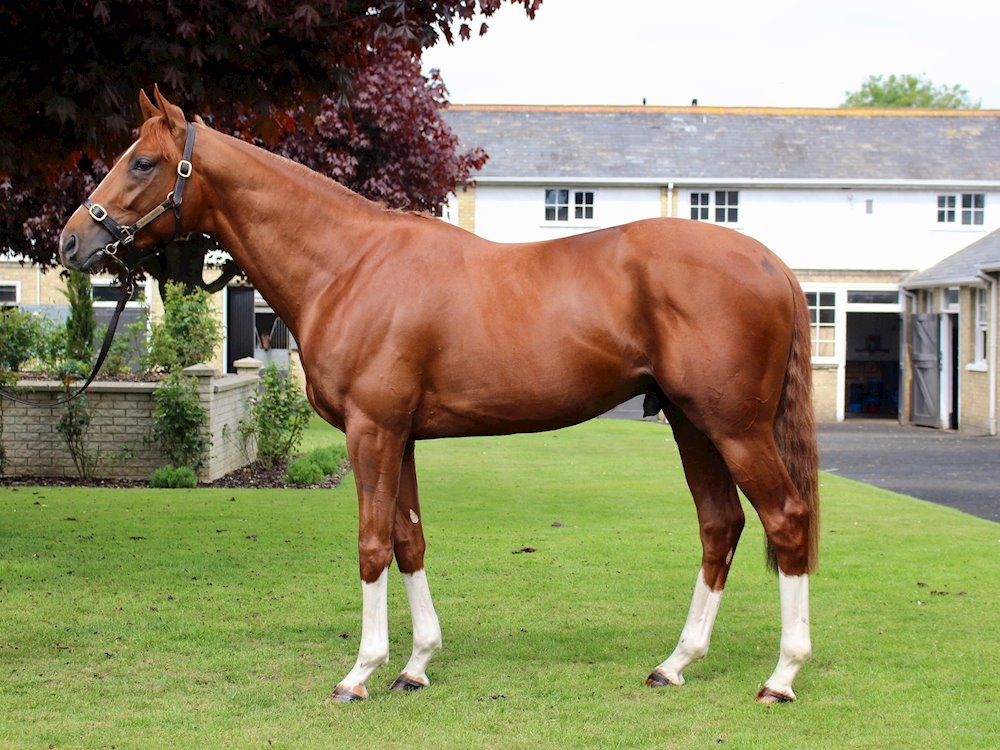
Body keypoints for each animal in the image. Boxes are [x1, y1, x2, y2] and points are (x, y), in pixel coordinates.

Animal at [59, 88, 819, 704]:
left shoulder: (371, 431)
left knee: (785, 519)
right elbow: (409, 539)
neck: (348, 264)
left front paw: (359, 673)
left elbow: (372, 544)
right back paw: (676, 663)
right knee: (721, 525)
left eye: (143, 163)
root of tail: (771, 264)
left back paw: (781, 676)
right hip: (692, 424)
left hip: (734, 427)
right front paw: (416, 664)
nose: (71, 241)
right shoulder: (401, 437)